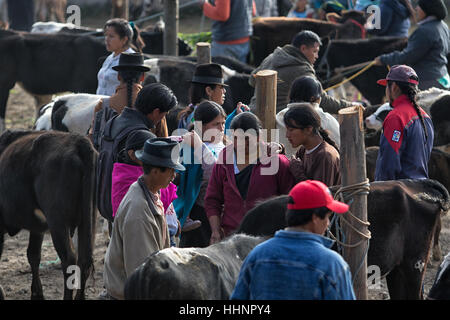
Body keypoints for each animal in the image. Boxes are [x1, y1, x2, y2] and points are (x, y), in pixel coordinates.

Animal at [0, 130, 96, 300]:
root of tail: (78, 140)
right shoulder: (36, 228)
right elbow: (33, 255)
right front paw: (37, 293)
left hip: (58, 221)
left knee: (69, 258)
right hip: (87, 218)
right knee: (84, 259)